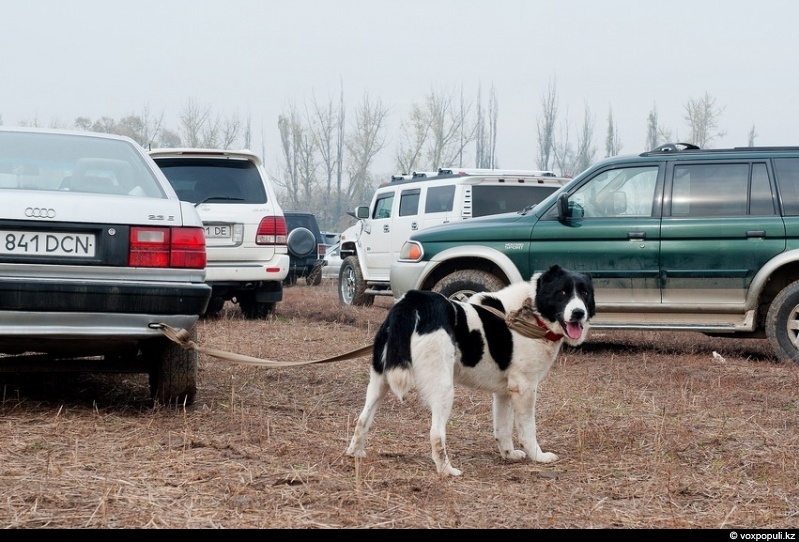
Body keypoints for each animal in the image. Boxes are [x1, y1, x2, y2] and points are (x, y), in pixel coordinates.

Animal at [346, 266, 596, 478]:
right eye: (562, 292)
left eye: (584, 293)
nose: (578, 313)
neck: (532, 312)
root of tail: (413, 303)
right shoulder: (524, 389)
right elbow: (527, 429)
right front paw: (538, 456)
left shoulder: (505, 392)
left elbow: (503, 429)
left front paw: (508, 455)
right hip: (444, 389)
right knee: (436, 434)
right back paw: (447, 470)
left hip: (380, 383)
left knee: (362, 420)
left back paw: (355, 453)